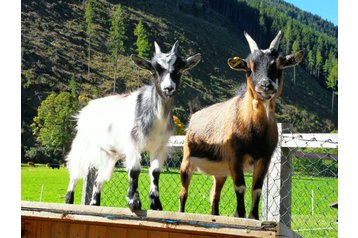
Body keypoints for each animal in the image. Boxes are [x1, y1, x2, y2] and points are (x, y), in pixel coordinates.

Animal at [178, 31, 302, 219]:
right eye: (249, 67)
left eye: (279, 64)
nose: (265, 85)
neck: (255, 132)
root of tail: (194, 116)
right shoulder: (235, 157)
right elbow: (240, 187)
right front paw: (241, 215)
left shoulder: (264, 159)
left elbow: (256, 189)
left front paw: (254, 217)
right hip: (187, 162)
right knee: (183, 192)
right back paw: (181, 212)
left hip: (220, 172)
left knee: (214, 196)